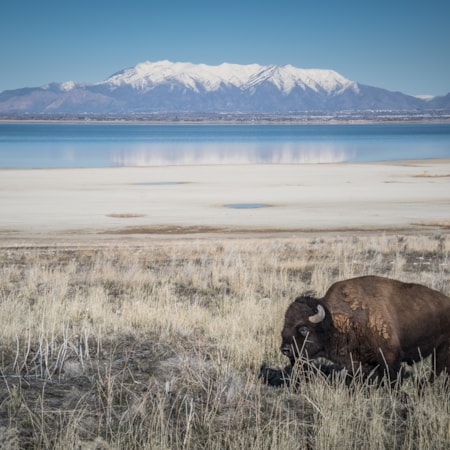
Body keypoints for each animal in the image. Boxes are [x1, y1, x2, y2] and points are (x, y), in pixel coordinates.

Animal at [282, 274, 450, 384]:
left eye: (303, 328)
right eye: (284, 327)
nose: (285, 349)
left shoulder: (390, 357)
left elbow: (391, 378)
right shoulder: (359, 362)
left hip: (442, 349)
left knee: (437, 369)